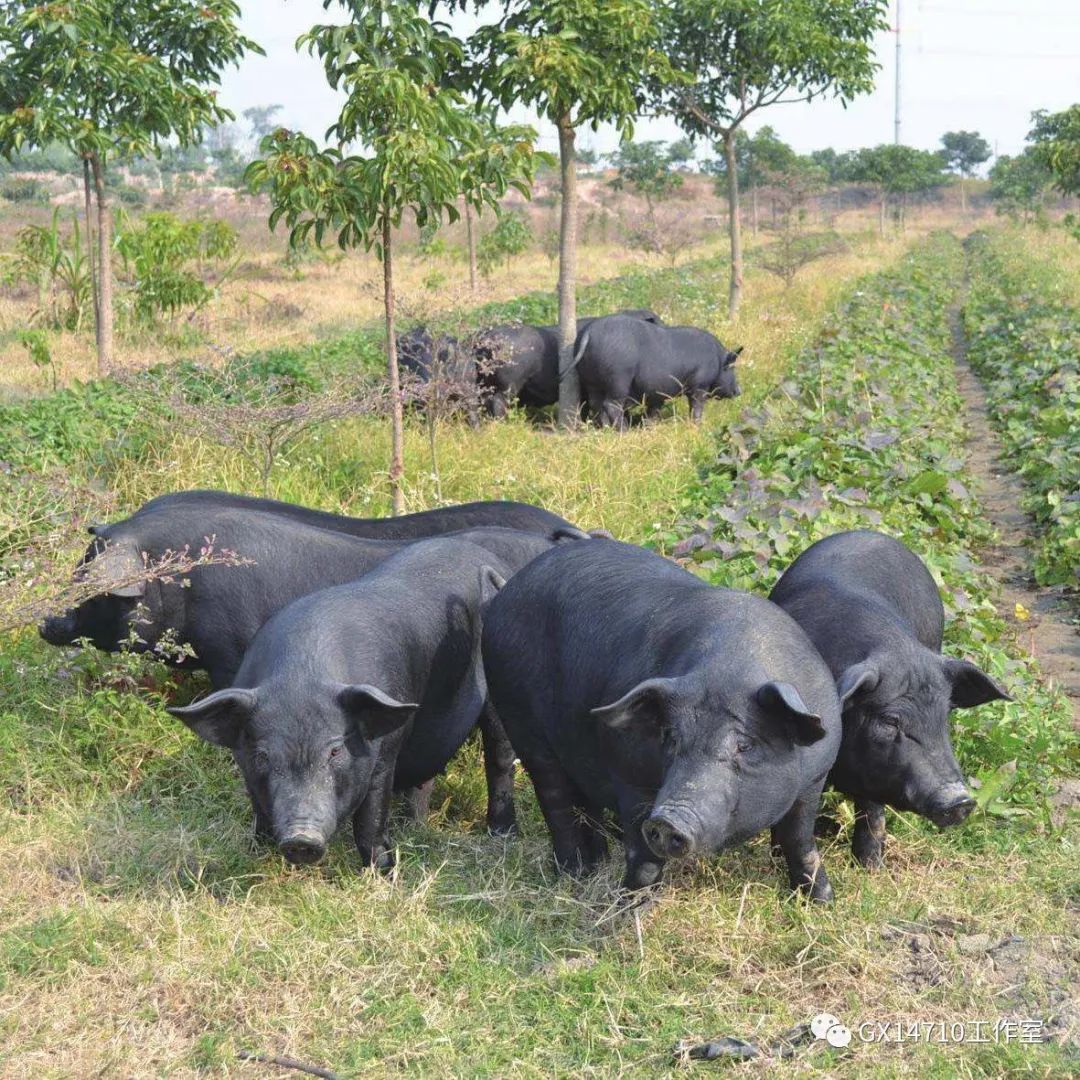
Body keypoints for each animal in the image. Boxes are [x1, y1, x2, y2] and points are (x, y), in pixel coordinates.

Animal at [166, 540, 533, 868]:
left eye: (335, 751)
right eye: (263, 756)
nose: (301, 838)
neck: (301, 673)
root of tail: (489, 558)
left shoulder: (385, 749)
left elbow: (371, 816)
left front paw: (383, 871)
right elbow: (259, 807)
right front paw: (257, 852)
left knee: (500, 757)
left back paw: (503, 834)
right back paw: (416, 827)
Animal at [481, 540, 842, 902]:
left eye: (744, 745)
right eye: (671, 737)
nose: (669, 820)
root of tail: (506, 591)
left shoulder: (814, 779)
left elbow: (799, 839)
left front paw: (821, 901)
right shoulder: (628, 772)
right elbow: (642, 855)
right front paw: (630, 906)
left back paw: (596, 863)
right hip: (518, 715)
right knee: (555, 799)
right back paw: (573, 874)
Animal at [570, 315, 738, 427]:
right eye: (732, 367)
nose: (739, 390)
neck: (717, 359)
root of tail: (589, 333)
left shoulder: (657, 392)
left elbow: (654, 411)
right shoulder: (700, 385)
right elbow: (696, 406)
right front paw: (697, 425)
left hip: (591, 381)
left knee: (596, 404)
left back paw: (605, 429)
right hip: (618, 379)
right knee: (611, 405)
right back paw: (624, 430)